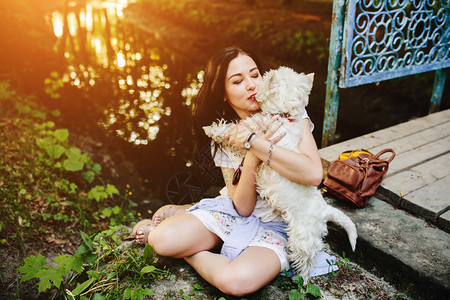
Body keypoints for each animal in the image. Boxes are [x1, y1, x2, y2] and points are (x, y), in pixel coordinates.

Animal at [202, 66, 356, 282]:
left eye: (261, 76)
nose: (255, 86)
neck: (283, 114)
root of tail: (325, 210)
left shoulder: (253, 135)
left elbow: (236, 132)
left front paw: (213, 130)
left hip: (302, 235)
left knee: (306, 259)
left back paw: (300, 279)